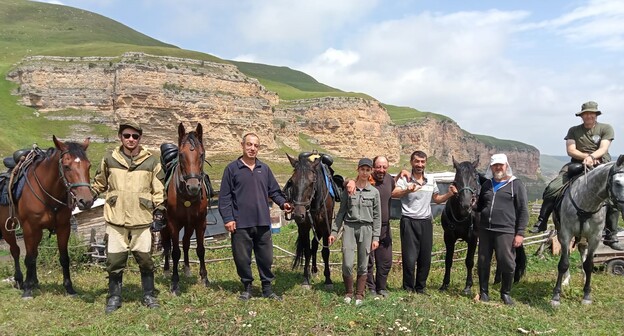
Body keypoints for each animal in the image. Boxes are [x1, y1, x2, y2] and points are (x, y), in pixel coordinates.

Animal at [0, 136, 92, 300]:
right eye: (66, 166)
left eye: (89, 166)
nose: (86, 201)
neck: (48, 192)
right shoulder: (30, 228)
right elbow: (29, 258)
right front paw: (27, 290)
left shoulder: (64, 228)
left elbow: (64, 258)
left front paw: (69, 288)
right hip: (8, 229)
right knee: (16, 251)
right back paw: (20, 280)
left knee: (34, 252)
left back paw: (34, 281)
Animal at [160, 124, 211, 296]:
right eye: (181, 155)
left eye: (201, 154)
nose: (193, 187)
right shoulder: (173, 224)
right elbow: (175, 252)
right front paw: (175, 283)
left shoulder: (200, 223)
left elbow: (200, 249)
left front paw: (204, 278)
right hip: (164, 227)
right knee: (167, 246)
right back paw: (166, 270)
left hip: (189, 226)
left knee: (187, 243)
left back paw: (187, 268)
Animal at [288, 152, 336, 288]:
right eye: (292, 181)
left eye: (311, 182)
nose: (298, 215)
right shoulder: (304, 228)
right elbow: (307, 251)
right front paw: (306, 278)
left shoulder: (325, 227)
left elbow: (325, 252)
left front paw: (328, 279)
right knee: (312, 246)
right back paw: (312, 270)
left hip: (319, 228)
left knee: (315, 244)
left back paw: (314, 269)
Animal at [552, 154, 624, 306]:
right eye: (617, 183)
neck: (586, 202)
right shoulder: (566, 234)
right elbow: (563, 263)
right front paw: (556, 296)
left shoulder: (595, 238)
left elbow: (589, 265)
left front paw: (586, 295)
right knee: (567, 254)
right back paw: (566, 280)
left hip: (585, 239)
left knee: (583, 255)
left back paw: (585, 278)